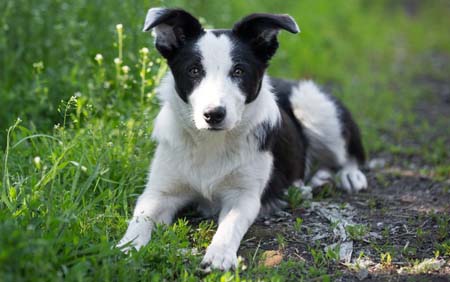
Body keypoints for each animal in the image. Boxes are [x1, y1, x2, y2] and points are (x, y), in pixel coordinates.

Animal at [118, 7, 368, 270]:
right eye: (194, 70)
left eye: (239, 71)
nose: (214, 114)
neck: (211, 142)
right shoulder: (159, 191)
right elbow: (141, 217)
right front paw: (127, 247)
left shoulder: (243, 196)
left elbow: (230, 225)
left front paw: (219, 255)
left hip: (316, 107)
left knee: (351, 154)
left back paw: (349, 175)